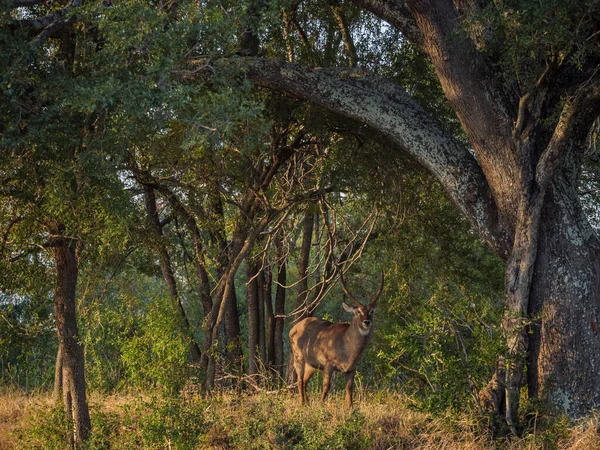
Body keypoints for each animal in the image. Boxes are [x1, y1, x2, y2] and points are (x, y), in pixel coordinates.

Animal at [288, 272, 382, 410]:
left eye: (371, 311)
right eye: (358, 311)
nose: (367, 322)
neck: (348, 350)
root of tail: (293, 328)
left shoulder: (351, 368)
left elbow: (349, 389)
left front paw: (350, 409)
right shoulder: (329, 363)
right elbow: (326, 386)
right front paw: (321, 405)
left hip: (312, 364)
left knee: (304, 381)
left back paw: (308, 403)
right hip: (298, 356)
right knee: (299, 380)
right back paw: (302, 403)